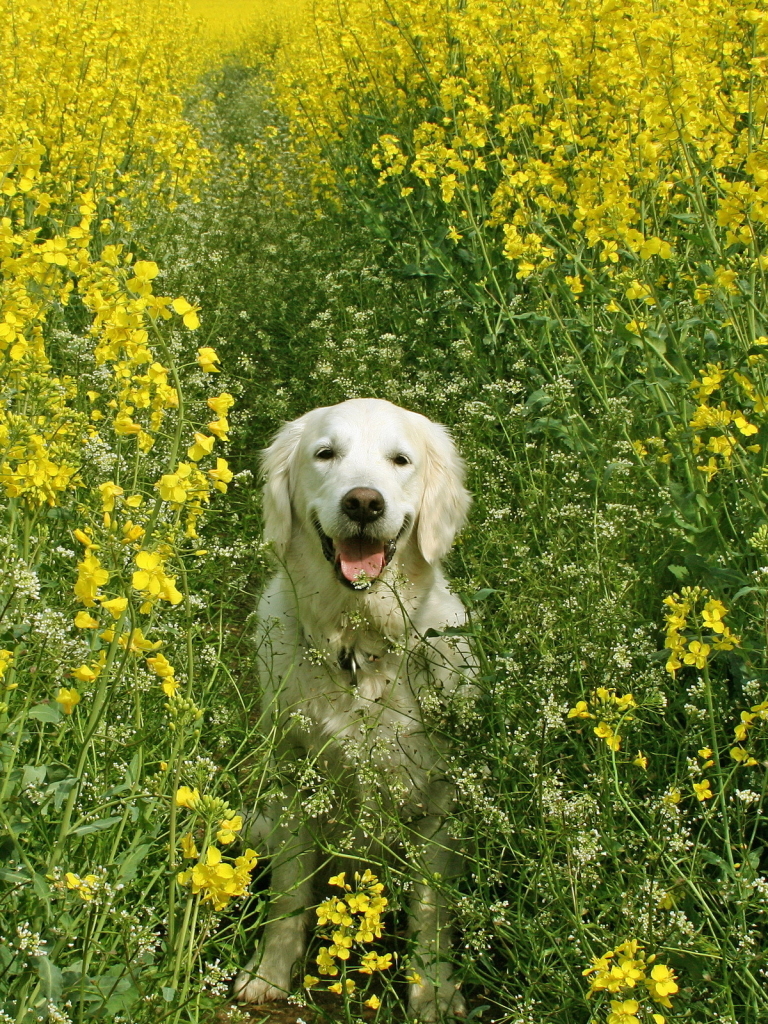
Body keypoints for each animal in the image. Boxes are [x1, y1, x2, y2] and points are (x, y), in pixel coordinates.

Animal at [234, 397, 475, 1015]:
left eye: (400, 460)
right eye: (325, 453)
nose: (364, 502)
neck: (357, 652)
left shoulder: (437, 807)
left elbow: (430, 913)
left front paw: (434, 995)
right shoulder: (294, 783)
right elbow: (287, 898)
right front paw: (270, 975)